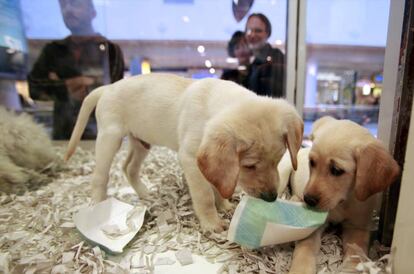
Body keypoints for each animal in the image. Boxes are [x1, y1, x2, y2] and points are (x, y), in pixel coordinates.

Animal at [65, 74, 304, 232]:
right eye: (249, 166)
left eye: (278, 160)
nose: (271, 198)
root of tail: (107, 87)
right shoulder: (191, 159)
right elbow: (204, 195)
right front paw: (212, 223)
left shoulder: (210, 163)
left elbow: (218, 183)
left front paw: (224, 206)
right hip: (110, 137)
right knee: (100, 176)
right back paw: (98, 205)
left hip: (141, 142)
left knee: (129, 167)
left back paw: (145, 193)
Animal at [286, 116, 400, 274]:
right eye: (312, 162)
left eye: (336, 170)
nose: (308, 200)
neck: (343, 202)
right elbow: (305, 248)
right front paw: (301, 269)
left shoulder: (357, 227)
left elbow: (355, 253)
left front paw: (350, 268)